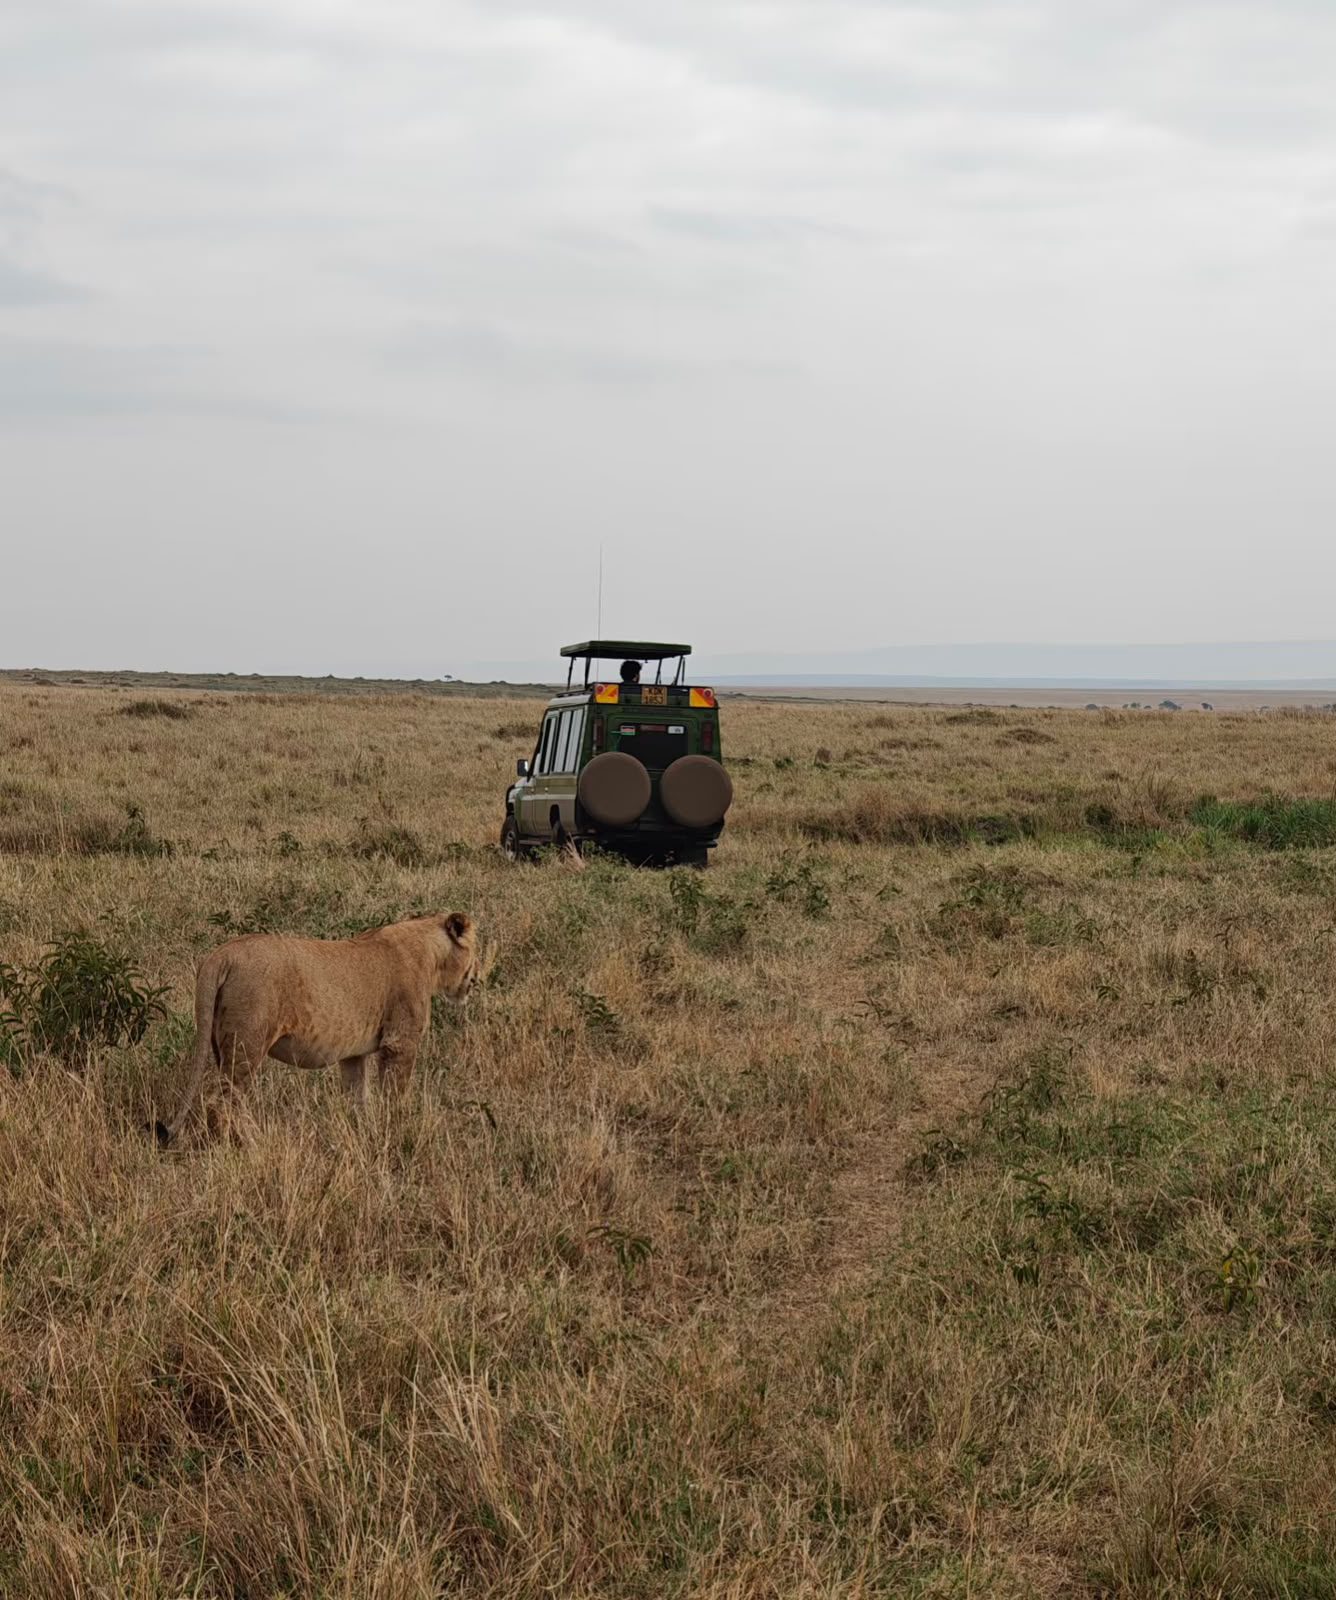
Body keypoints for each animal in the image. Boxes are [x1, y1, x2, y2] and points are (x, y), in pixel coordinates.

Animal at [156, 911, 480, 1143]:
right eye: (476, 950)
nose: (477, 980)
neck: (431, 956)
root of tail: (221, 955)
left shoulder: (354, 1055)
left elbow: (357, 1097)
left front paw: (361, 1133)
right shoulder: (400, 1043)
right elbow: (395, 1096)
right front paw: (399, 1130)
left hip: (221, 1043)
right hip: (248, 1042)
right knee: (222, 1101)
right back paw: (250, 1143)